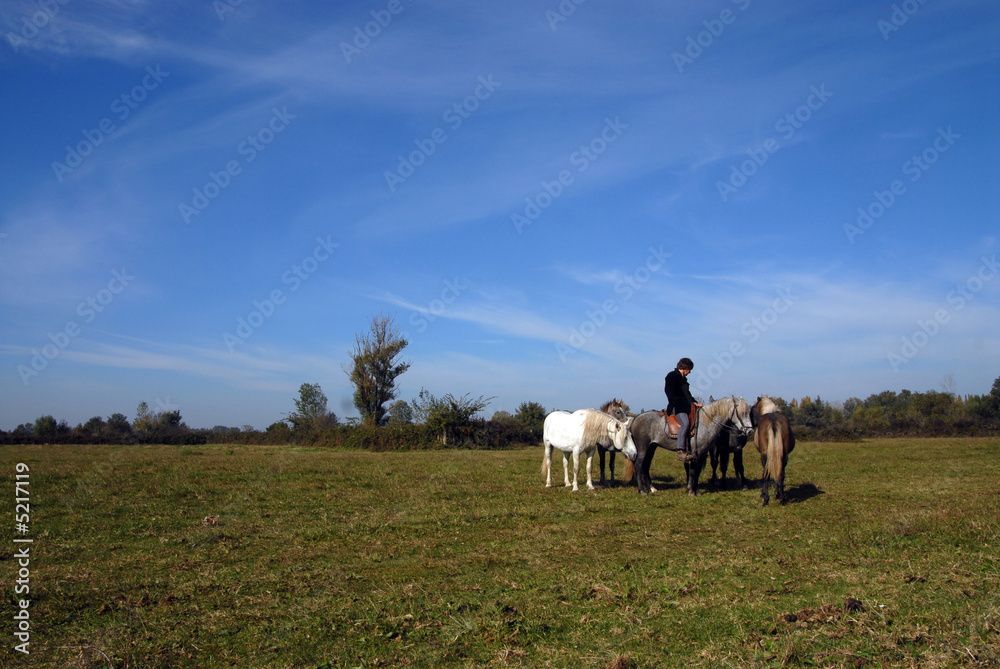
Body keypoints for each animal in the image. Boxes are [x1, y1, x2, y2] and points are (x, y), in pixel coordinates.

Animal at [624, 396, 752, 496]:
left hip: (652, 448)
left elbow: (697, 471)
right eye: (742, 412)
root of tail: (636, 418)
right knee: (639, 465)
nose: (750, 431)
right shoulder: (697, 453)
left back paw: (652, 488)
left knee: (646, 466)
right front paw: (691, 491)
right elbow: (693, 471)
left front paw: (696, 490)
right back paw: (642, 490)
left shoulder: (702, 453)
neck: (706, 423)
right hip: (643, 448)